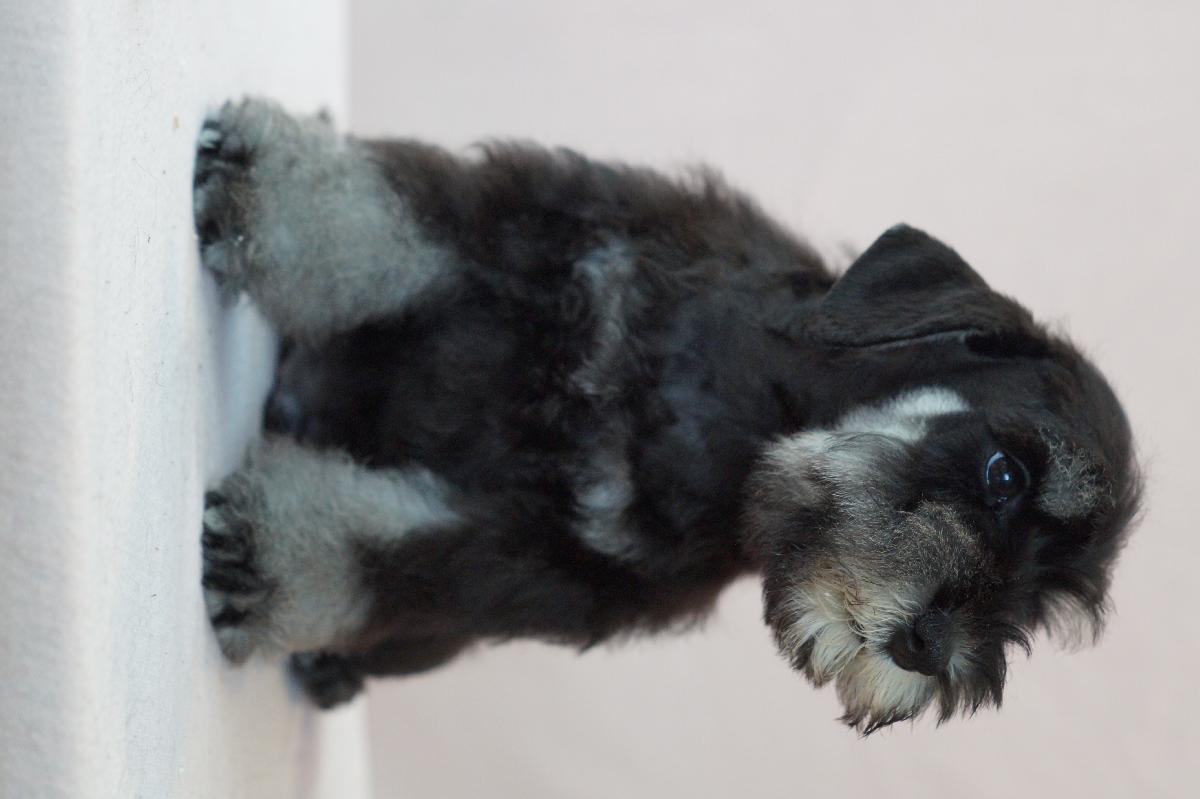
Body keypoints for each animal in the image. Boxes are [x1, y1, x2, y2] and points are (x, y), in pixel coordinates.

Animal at [195, 98, 1141, 733]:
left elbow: (383, 558)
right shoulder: (539, 230)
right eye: (1006, 472)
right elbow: (389, 218)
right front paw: (257, 182)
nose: (929, 646)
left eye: (1035, 611)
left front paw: (261, 562)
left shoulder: (524, 563)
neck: (742, 424)